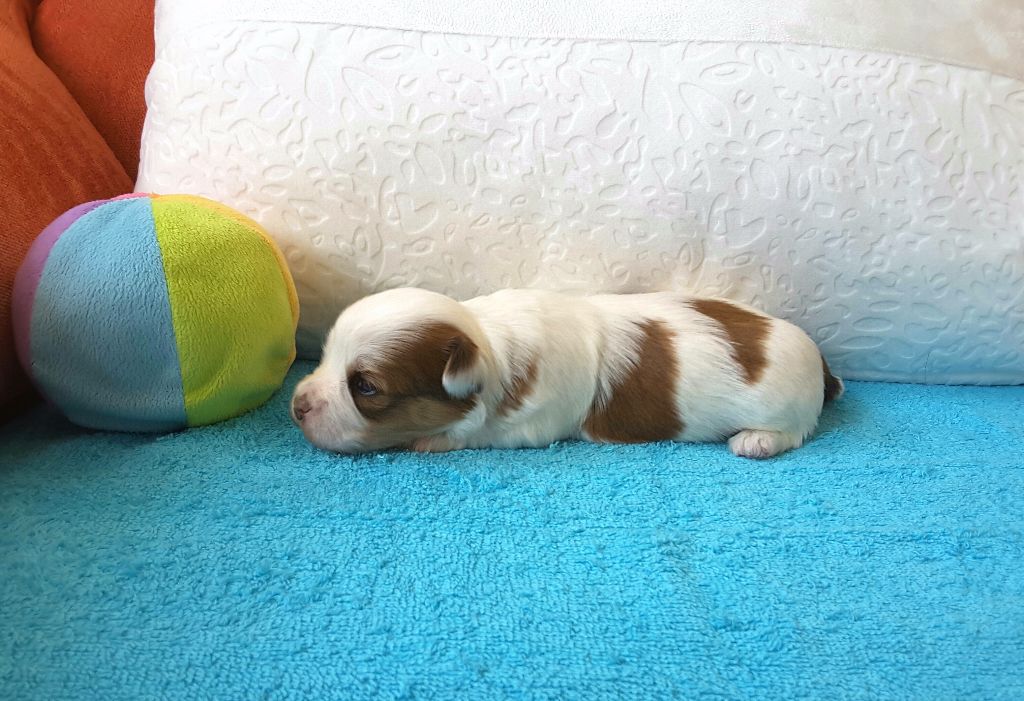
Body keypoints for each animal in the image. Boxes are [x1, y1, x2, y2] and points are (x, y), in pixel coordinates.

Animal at [291, 288, 843, 457]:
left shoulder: (532, 425)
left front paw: (430, 440)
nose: (296, 406)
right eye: (324, 357)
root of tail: (821, 362)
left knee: (794, 431)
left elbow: (474, 434)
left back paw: (755, 441)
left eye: (365, 387)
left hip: (786, 408)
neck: (487, 341)